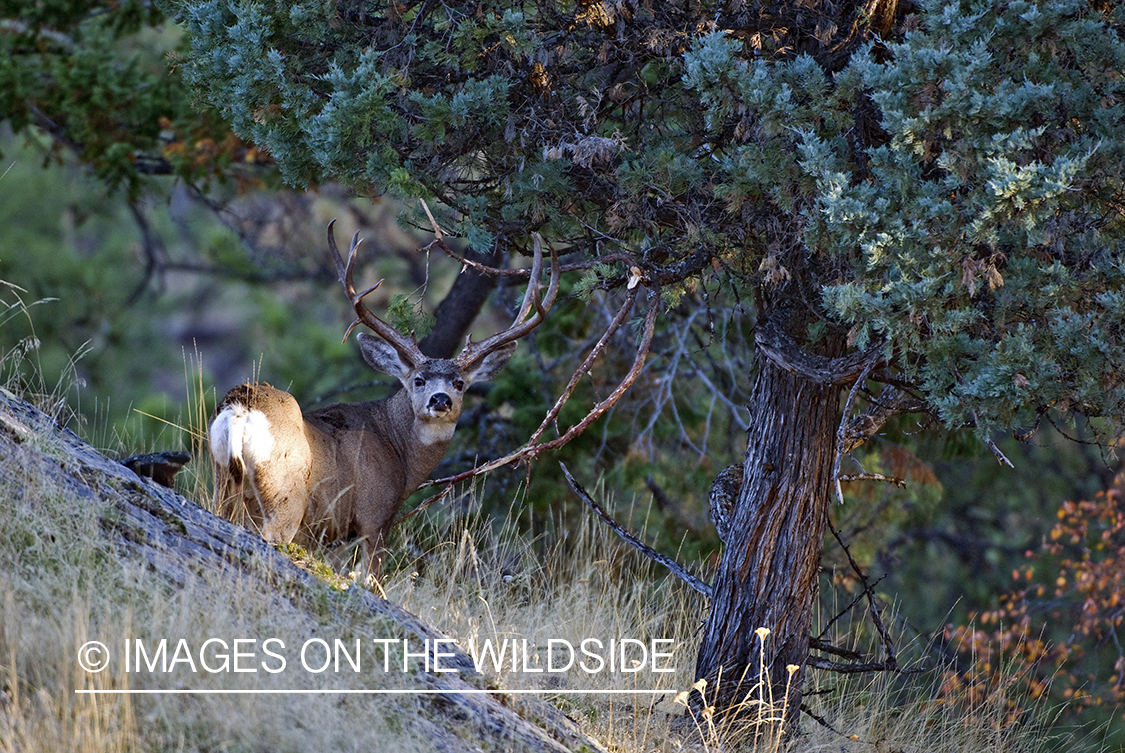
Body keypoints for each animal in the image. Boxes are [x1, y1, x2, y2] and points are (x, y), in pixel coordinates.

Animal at [208, 221, 559, 576]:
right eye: (418, 380)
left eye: (460, 383)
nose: (440, 400)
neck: (398, 450)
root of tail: (241, 408)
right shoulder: (374, 515)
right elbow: (372, 578)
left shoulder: (335, 535)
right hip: (285, 496)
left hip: (224, 484)